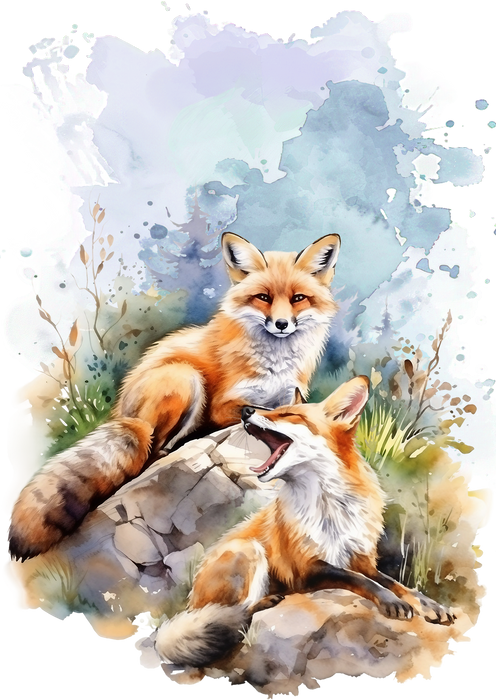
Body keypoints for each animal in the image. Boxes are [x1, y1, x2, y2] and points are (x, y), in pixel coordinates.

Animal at [8, 231, 341, 561]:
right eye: (264, 297)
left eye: (298, 298)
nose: (282, 325)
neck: (276, 362)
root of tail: (124, 413)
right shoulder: (222, 405)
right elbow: (252, 409)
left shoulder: (290, 394)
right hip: (185, 379)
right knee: (152, 454)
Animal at [155, 376, 455, 670]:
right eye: (277, 410)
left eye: (289, 414)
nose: (245, 411)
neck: (331, 510)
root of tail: (192, 601)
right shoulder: (307, 570)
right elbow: (359, 580)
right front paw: (391, 601)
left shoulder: (361, 559)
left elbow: (395, 583)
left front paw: (428, 604)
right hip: (249, 550)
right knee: (236, 614)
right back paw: (264, 602)